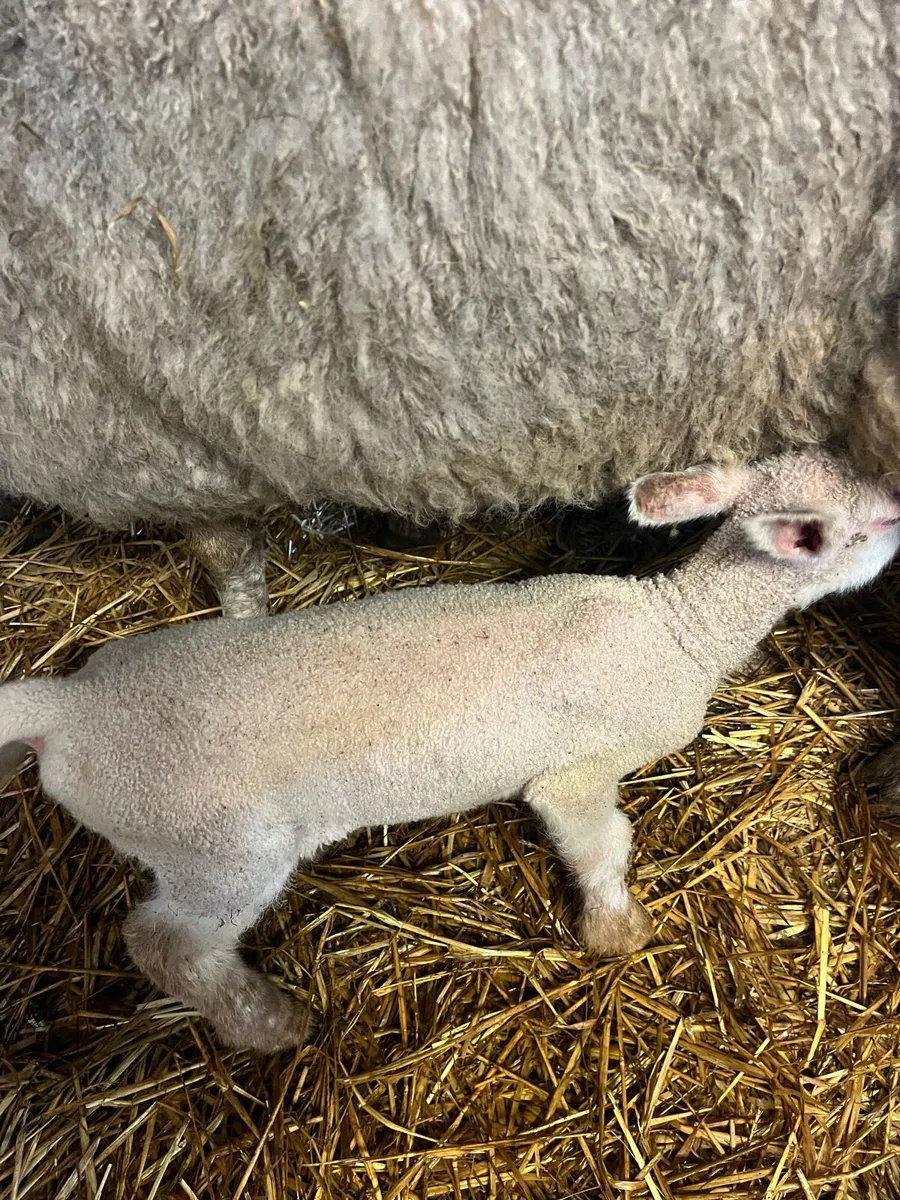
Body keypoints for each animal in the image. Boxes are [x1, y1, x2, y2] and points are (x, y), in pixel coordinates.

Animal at [1, 450, 897, 1052]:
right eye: (879, 525)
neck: (675, 629)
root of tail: (69, 709)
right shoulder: (574, 772)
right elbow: (602, 845)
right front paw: (617, 932)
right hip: (214, 845)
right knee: (166, 945)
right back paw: (270, 1024)